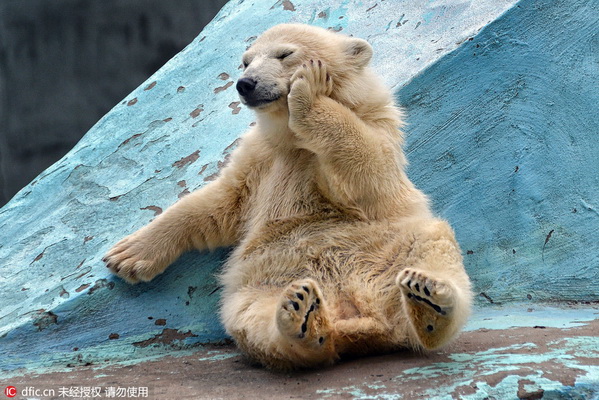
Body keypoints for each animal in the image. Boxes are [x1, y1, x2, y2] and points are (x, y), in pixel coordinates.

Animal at [106, 24, 474, 368]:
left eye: (284, 54)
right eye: (245, 61)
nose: (246, 83)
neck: (292, 140)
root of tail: (358, 318)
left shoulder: (378, 127)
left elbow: (370, 173)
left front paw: (309, 90)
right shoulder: (260, 158)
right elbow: (219, 205)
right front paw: (125, 255)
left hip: (385, 251)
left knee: (429, 240)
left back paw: (430, 302)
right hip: (260, 281)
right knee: (253, 318)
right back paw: (302, 318)